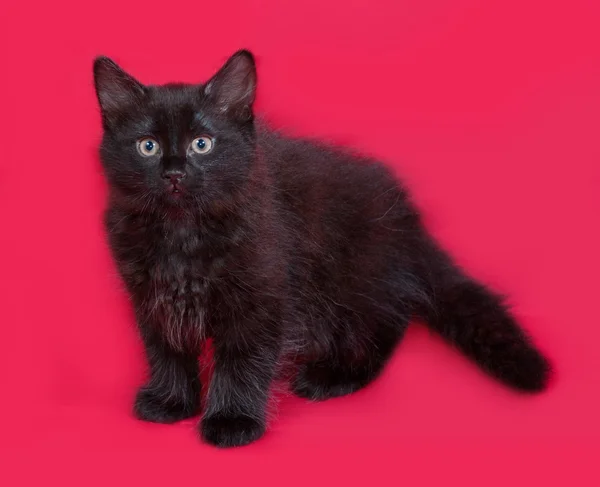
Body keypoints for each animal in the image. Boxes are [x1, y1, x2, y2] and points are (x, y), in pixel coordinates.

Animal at [92, 50, 548, 450]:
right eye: (147, 146)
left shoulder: (262, 296)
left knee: (380, 324)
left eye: (202, 144)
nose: (173, 173)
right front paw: (172, 402)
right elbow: (165, 349)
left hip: (353, 282)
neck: (182, 231)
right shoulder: (151, 297)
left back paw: (334, 376)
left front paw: (232, 420)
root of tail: (407, 215)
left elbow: (241, 361)